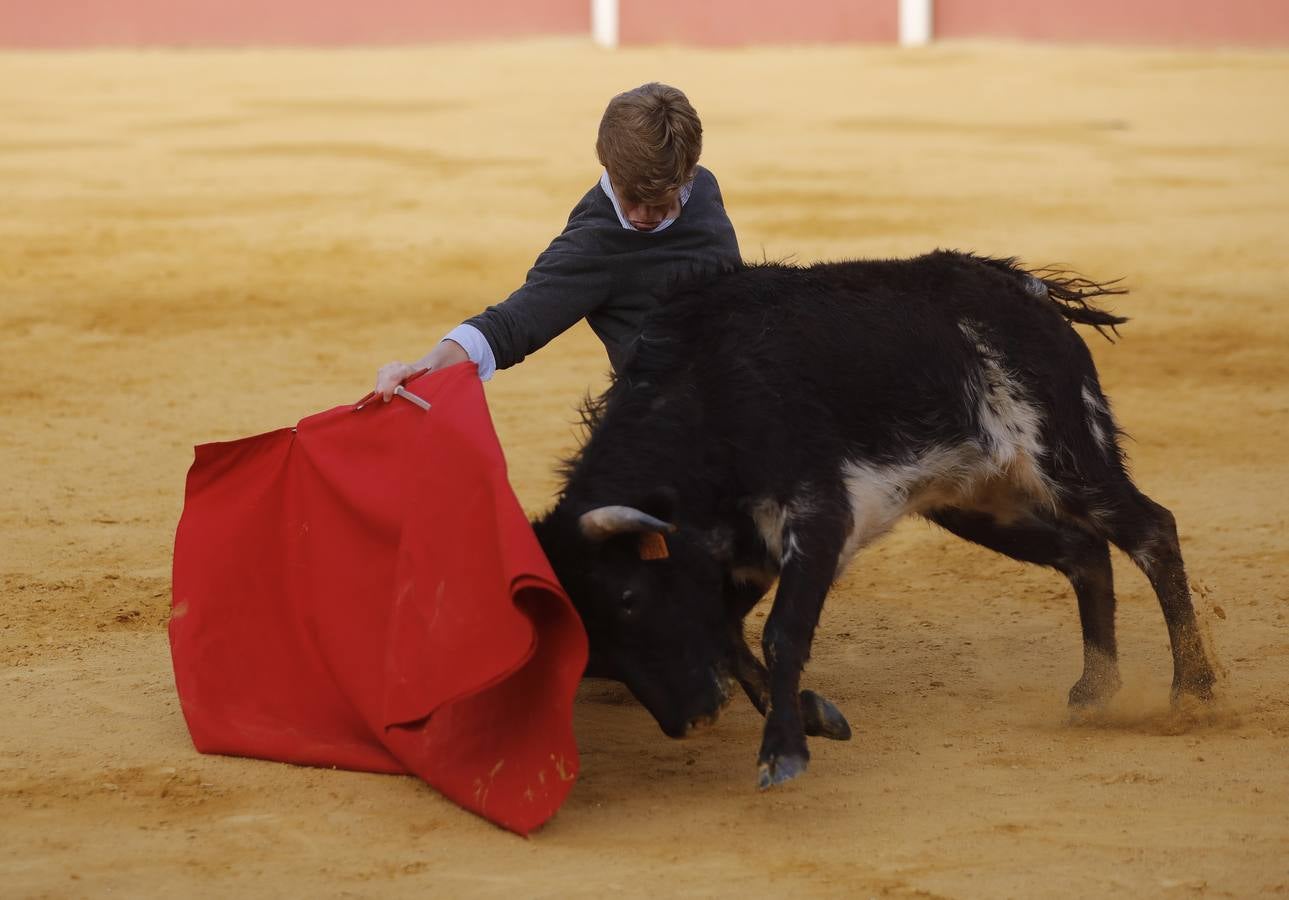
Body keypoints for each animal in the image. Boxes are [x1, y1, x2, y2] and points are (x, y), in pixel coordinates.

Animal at [531, 250, 1216, 783]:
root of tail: (1024, 288)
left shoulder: (818, 514)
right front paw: (813, 717)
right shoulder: (738, 556)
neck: (703, 399)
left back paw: (1193, 696)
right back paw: (1095, 693)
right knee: (1085, 553)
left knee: (1153, 531)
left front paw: (783, 752)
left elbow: (780, 633)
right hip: (976, 503)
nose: (693, 719)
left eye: (627, 597)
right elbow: (729, 635)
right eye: (590, 647)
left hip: (1067, 456)